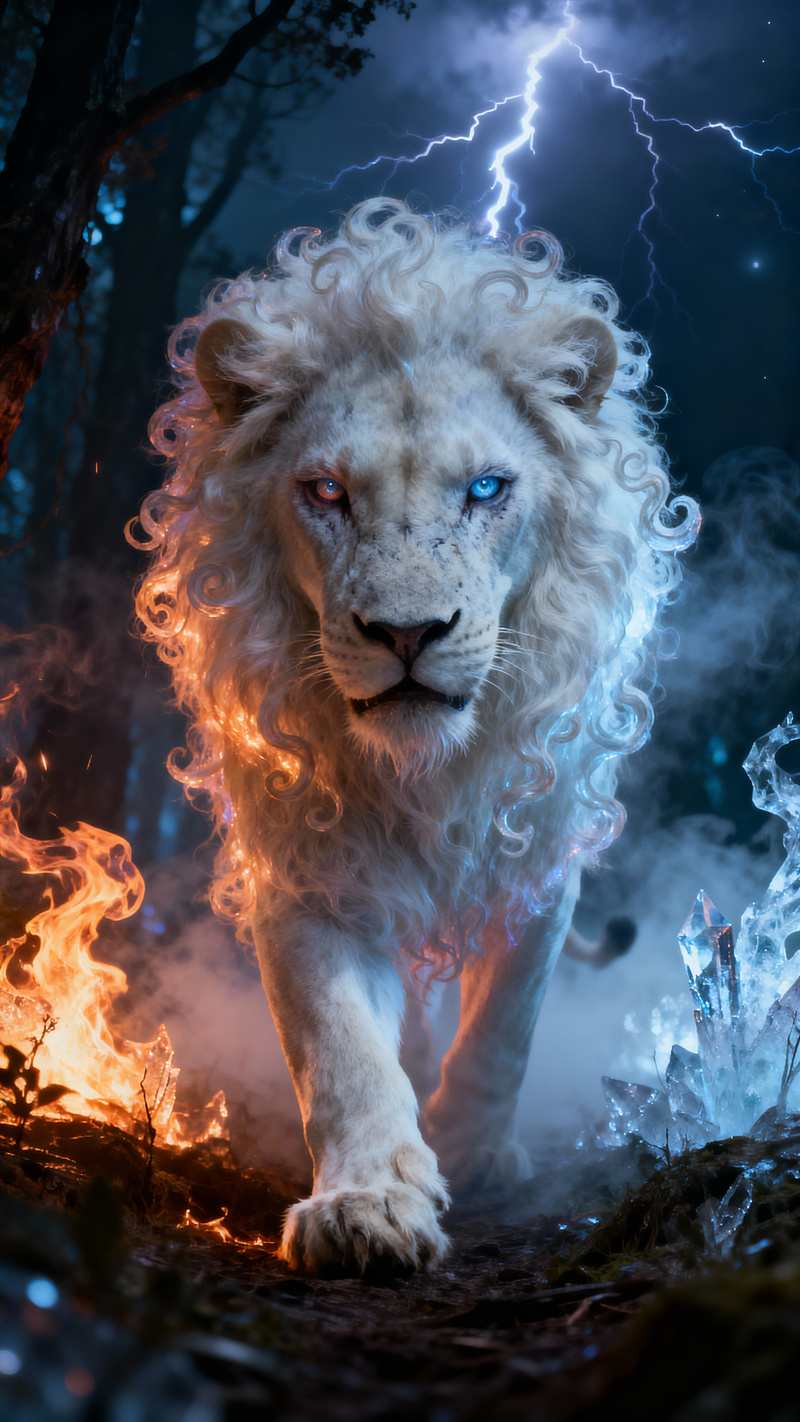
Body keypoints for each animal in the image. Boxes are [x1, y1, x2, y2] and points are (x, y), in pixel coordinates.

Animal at [133, 199, 698, 1273]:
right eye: (325, 492)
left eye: (484, 489)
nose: (405, 633)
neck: (420, 773)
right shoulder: (307, 860)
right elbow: (338, 1044)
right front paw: (367, 1202)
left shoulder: (538, 848)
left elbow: (508, 1021)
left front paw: (477, 1153)